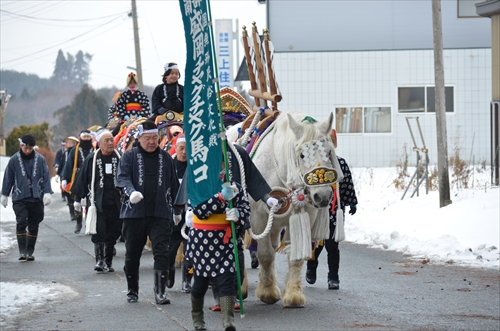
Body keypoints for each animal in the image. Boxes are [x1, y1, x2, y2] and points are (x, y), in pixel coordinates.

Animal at [247, 111, 342, 308]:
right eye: (302, 155)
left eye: (329, 151)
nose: (322, 196)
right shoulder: (259, 218)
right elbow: (265, 254)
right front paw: (267, 293)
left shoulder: (305, 214)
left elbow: (296, 255)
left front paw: (293, 295)